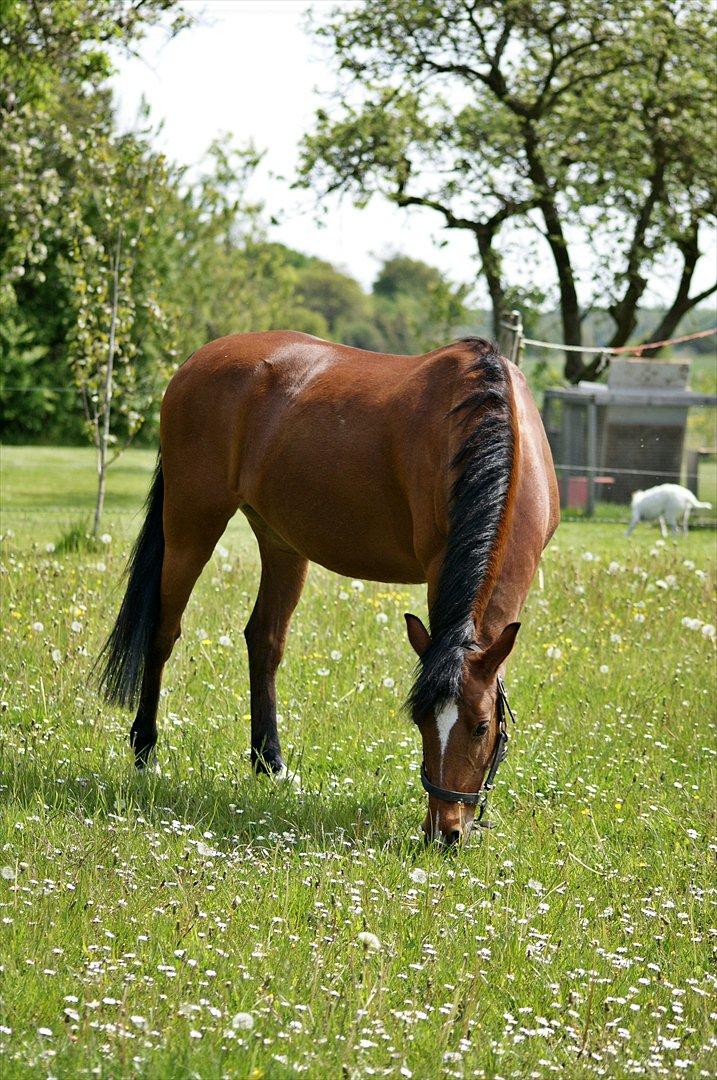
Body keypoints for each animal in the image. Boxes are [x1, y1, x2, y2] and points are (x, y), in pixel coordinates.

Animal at [100, 328, 561, 842]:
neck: (492, 424)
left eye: (481, 727)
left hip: (280, 541)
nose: (443, 832)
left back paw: (271, 763)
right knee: (163, 632)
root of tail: (196, 361)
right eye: (420, 719)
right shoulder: (439, 568)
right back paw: (145, 752)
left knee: (264, 640)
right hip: (190, 525)